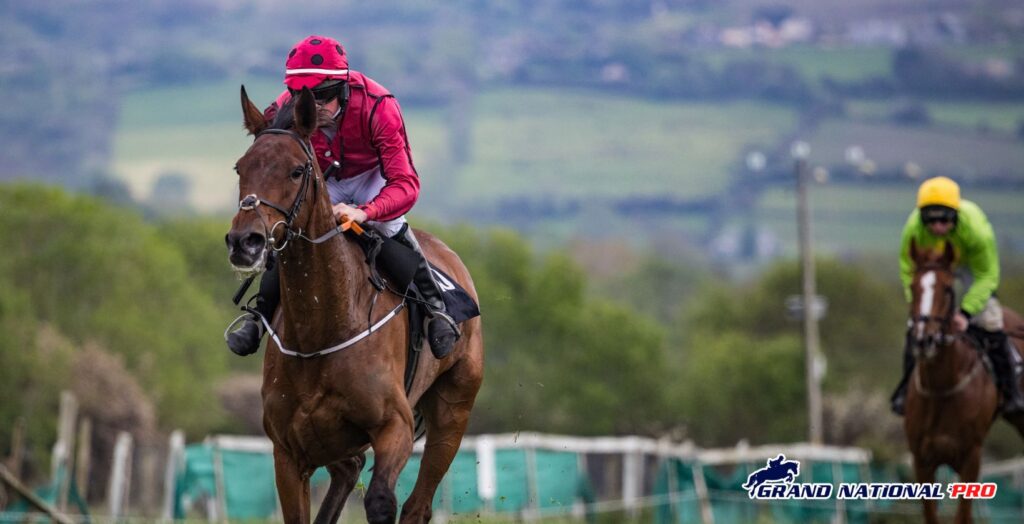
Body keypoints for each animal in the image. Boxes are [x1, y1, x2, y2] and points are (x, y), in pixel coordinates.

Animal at [230, 86, 485, 524]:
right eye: (239, 168)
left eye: (297, 170)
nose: (245, 242)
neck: (322, 328)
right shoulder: (288, 452)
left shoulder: (395, 427)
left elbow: (381, 500)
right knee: (348, 470)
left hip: (454, 410)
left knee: (417, 505)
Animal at [905, 239, 999, 521]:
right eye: (913, 287)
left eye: (947, 288)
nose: (924, 340)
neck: (941, 388)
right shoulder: (922, 459)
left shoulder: (971, 458)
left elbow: (963, 516)